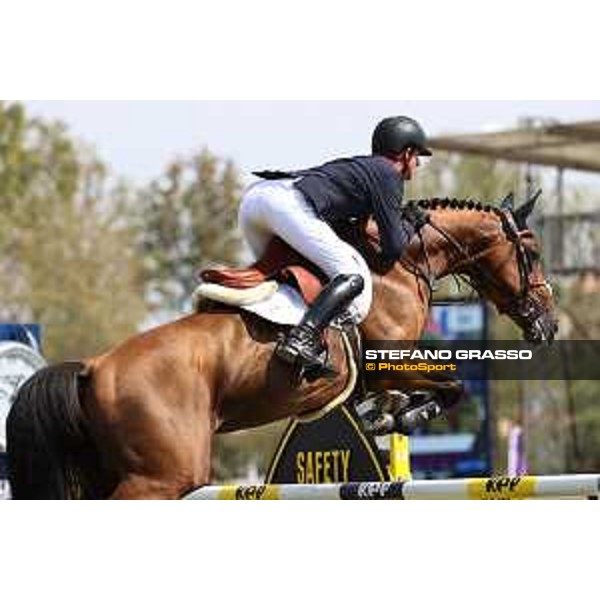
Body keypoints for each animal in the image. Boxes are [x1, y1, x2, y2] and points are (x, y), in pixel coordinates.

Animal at [5, 196, 556, 496]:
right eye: (531, 252)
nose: (548, 324)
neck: (398, 266)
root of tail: (92, 368)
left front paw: (384, 415)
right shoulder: (390, 362)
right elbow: (454, 386)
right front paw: (396, 418)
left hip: (109, 471)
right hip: (163, 476)